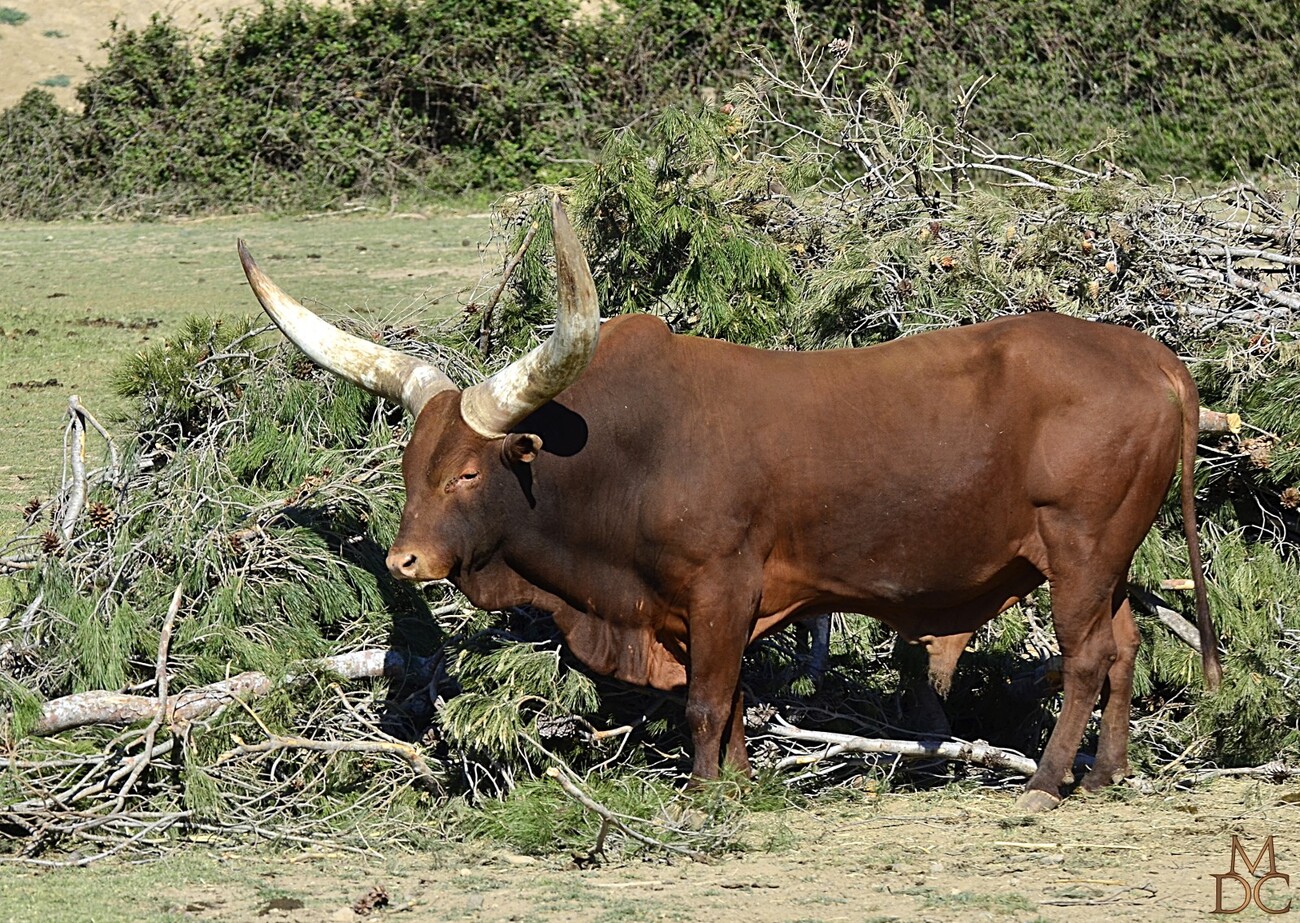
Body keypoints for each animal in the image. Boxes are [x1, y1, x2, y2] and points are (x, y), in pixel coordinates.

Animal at [239, 200, 1222, 811]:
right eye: (413, 465)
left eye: (470, 475)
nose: (406, 559)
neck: (625, 452)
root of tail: (1150, 357)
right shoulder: (702, 608)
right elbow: (736, 696)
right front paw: (745, 780)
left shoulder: (721, 587)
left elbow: (708, 701)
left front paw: (705, 791)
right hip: (1110, 559)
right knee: (1125, 646)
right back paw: (1107, 773)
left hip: (1080, 550)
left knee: (1087, 656)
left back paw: (1049, 779)